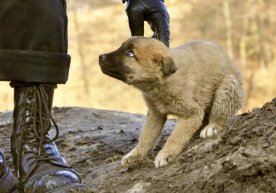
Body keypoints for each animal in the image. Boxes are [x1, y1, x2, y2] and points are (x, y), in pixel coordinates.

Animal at [99, 37, 244, 168]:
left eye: (130, 54)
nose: (100, 57)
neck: (159, 84)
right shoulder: (155, 114)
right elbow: (145, 137)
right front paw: (135, 154)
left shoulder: (192, 113)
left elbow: (174, 137)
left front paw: (165, 154)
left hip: (228, 85)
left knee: (219, 114)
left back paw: (211, 127)